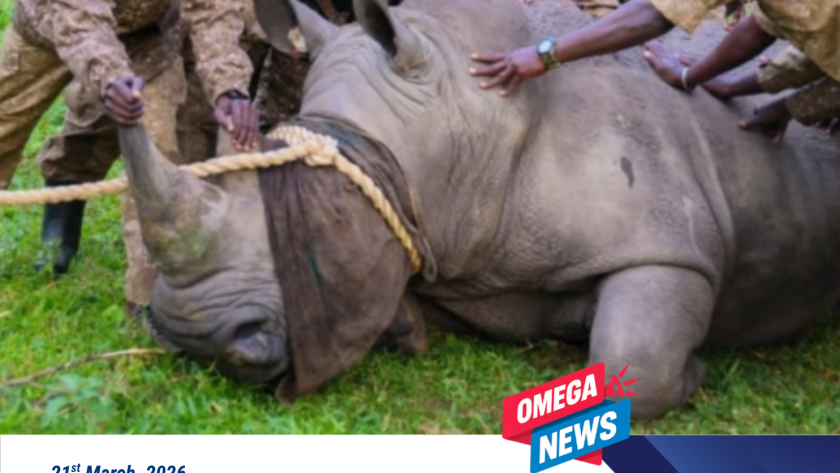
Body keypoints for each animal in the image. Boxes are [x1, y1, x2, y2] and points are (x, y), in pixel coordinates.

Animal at [117, 0, 840, 419]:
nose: (193, 338)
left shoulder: (671, 244)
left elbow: (633, 365)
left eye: (333, 221)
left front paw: (695, 373)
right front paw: (406, 327)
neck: (468, 115)